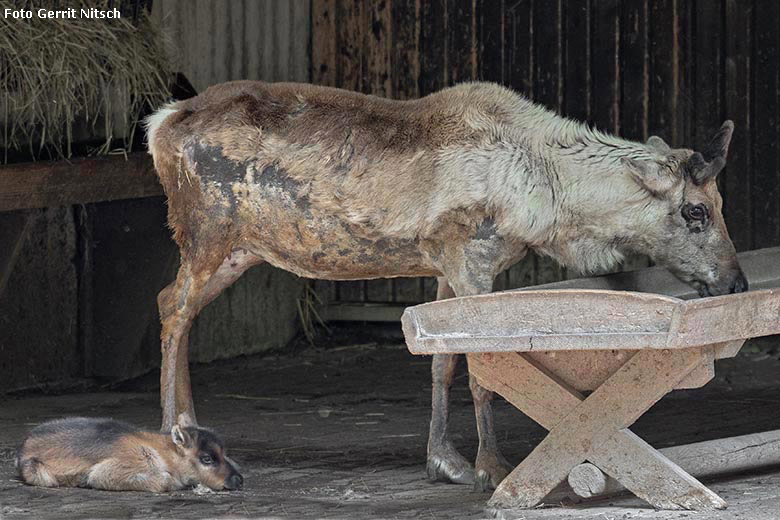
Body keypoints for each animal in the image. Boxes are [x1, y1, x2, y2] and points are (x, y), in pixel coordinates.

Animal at [16, 414, 241, 492]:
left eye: (224, 453)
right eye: (207, 458)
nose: (238, 479)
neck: (164, 451)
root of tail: (24, 448)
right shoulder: (106, 471)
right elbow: (164, 481)